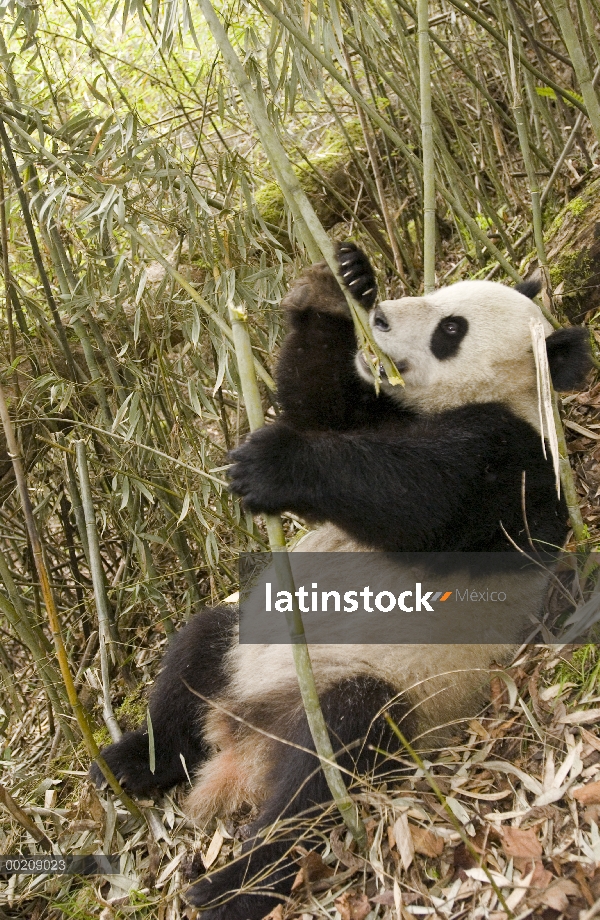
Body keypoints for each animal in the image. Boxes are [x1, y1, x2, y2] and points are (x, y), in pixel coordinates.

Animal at [91, 241, 592, 916]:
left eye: (451, 329)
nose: (377, 318)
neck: (510, 395)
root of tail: (244, 739)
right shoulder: (384, 410)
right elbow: (324, 408)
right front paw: (338, 283)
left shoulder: (512, 468)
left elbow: (419, 499)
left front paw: (272, 463)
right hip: (244, 644)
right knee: (196, 651)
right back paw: (132, 761)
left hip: (397, 694)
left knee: (331, 758)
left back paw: (232, 884)